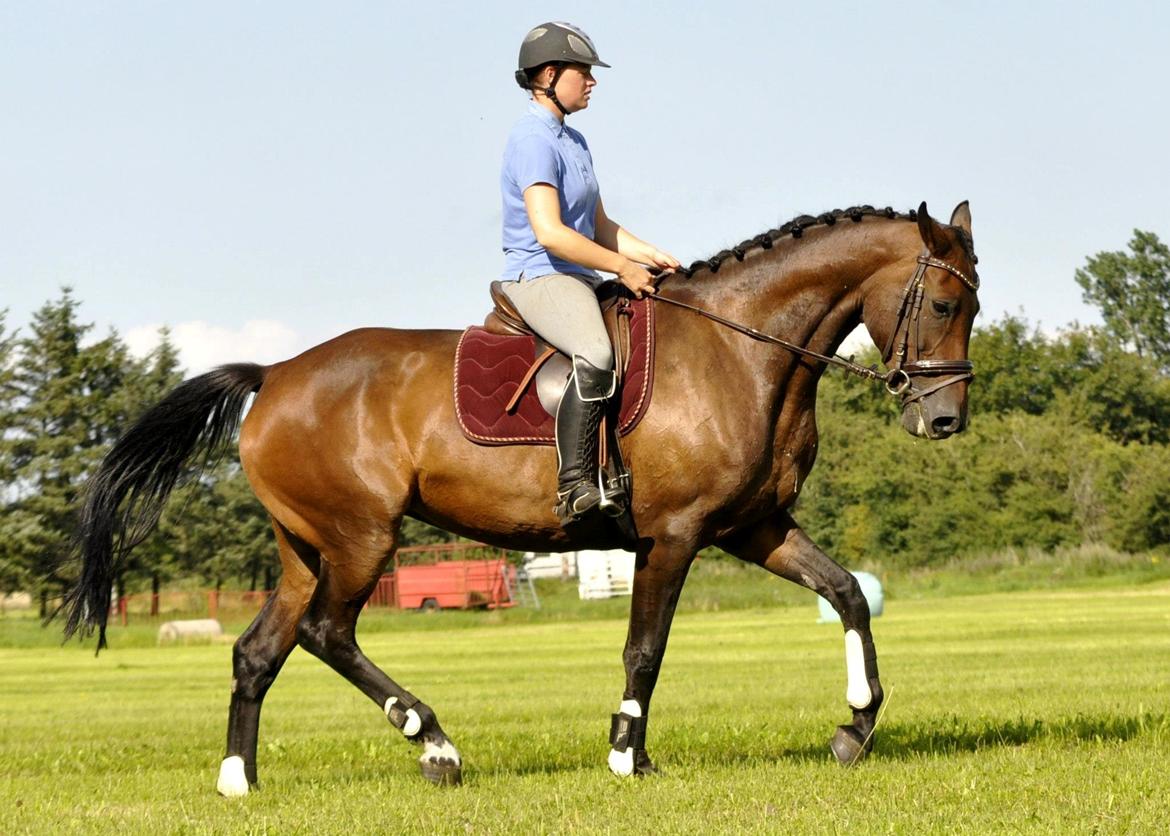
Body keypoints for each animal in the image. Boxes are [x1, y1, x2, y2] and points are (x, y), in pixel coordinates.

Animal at [61, 199, 978, 795]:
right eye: (942, 301)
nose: (945, 419)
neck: (742, 351)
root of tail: (275, 372)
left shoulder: (754, 526)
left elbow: (847, 593)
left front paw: (855, 726)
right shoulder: (675, 535)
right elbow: (645, 649)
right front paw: (627, 756)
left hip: (304, 547)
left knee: (260, 651)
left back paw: (239, 780)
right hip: (361, 539)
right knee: (327, 633)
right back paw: (433, 744)